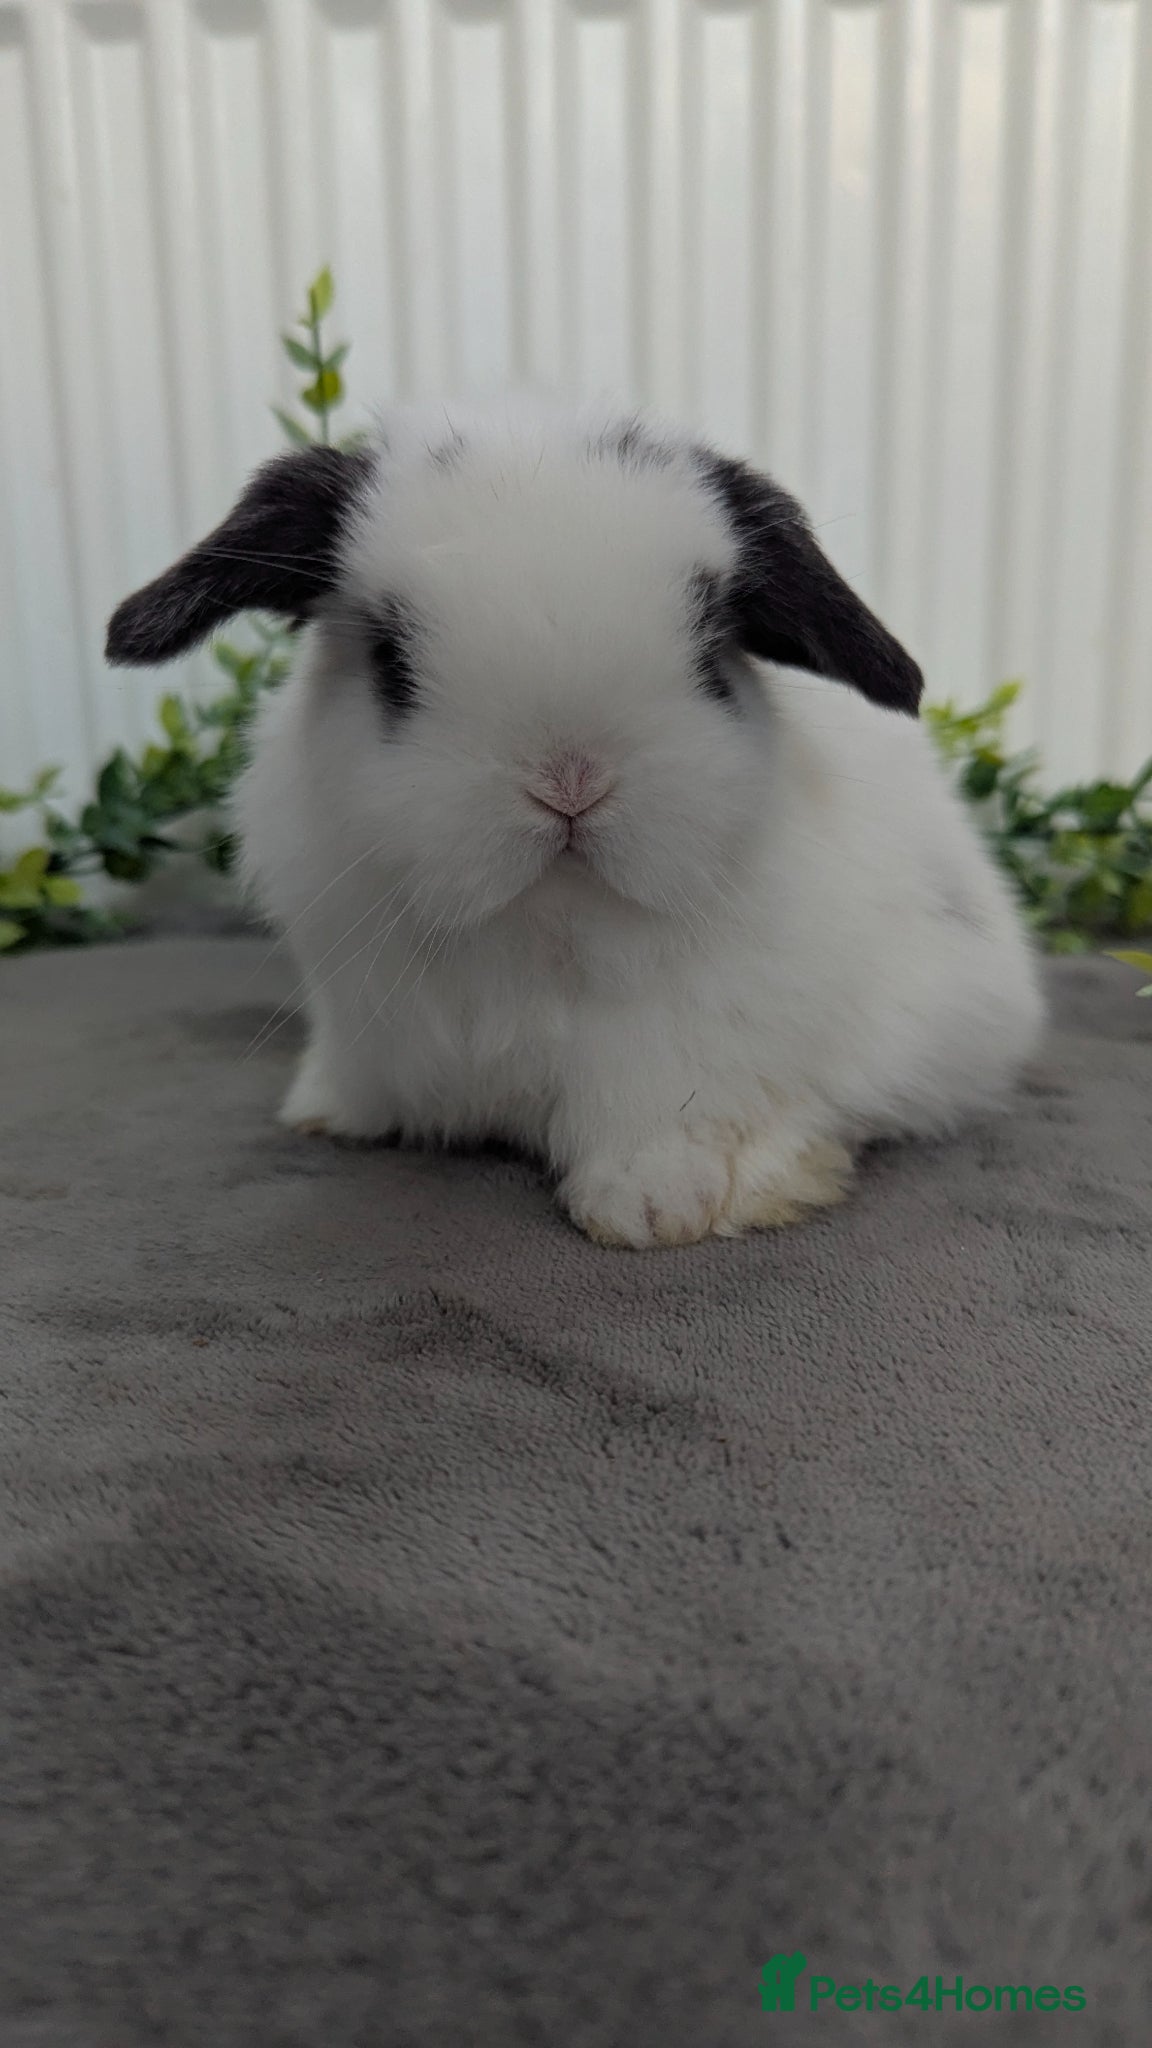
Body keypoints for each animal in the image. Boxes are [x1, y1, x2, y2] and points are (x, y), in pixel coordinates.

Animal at [106, 401, 1044, 1248]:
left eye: (713, 655)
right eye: (389, 660)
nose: (570, 782)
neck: (543, 930)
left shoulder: (691, 1036)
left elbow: (676, 1105)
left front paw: (660, 1208)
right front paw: (329, 1112)